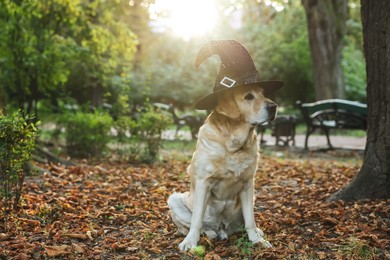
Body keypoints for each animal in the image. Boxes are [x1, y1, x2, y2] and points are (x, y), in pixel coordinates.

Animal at [168, 84, 278, 251]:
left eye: (263, 93)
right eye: (248, 96)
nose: (274, 107)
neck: (234, 145)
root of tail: (222, 228)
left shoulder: (248, 184)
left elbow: (250, 219)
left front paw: (257, 239)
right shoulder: (203, 182)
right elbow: (196, 220)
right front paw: (190, 242)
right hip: (174, 199)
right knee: (193, 226)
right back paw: (209, 234)